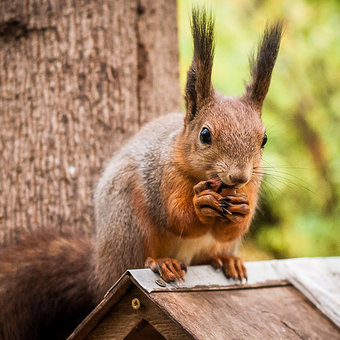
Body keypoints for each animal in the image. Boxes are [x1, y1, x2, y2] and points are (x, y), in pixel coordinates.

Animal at [0, 7, 282, 340]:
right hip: (127, 221)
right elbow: (175, 217)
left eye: (264, 139)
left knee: (219, 248)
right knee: (138, 256)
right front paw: (200, 205)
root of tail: (98, 269)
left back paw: (226, 260)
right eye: (205, 135)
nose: (238, 177)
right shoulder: (163, 175)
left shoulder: (254, 183)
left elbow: (232, 227)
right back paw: (162, 263)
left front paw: (241, 209)